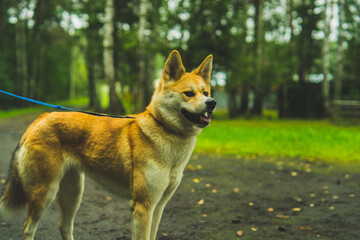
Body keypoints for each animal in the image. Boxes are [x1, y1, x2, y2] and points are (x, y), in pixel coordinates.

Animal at [0, 49, 217, 239]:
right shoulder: (143, 206)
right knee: (28, 229)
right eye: (189, 93)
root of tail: (39, 119)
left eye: (205, 92)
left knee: (64, 227)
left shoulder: (158, 207)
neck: (165, 130)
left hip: (73, 192)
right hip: (45, 193)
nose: (212, 103)